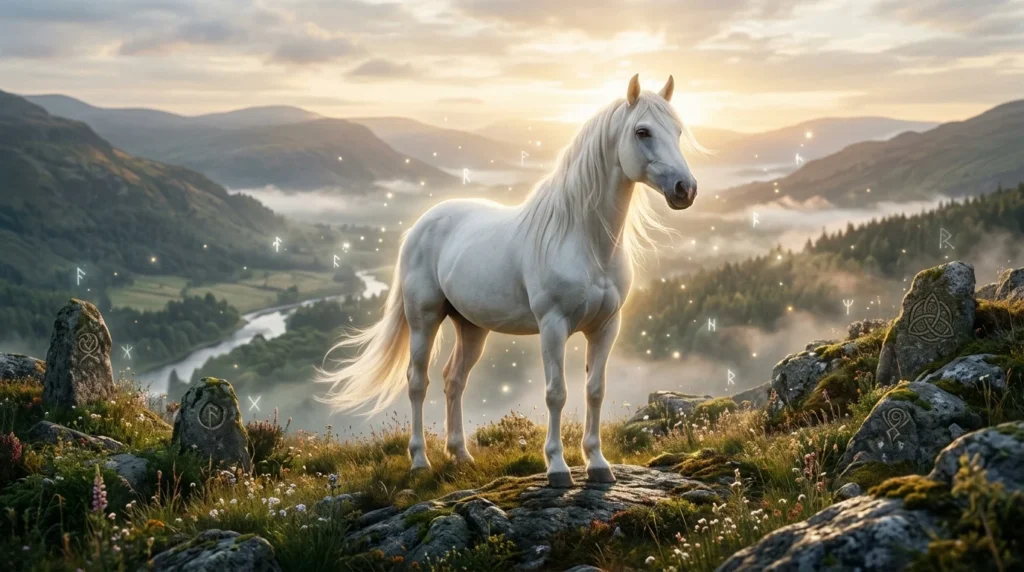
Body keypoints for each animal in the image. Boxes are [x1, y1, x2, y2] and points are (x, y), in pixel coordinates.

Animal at [319, 74, 699, 487]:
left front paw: (598, 464)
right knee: (418, 382)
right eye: (642, 131)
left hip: (471, 326)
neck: (583, 239)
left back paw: (460, 455)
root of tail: (422, 224)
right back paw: (420, 460)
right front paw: (557, 468)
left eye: (678, 131)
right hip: (424, 319)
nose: (686, 189)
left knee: (454, 380)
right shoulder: (553, 326)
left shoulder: (606, 327)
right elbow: (556, 393)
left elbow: (594, 391)